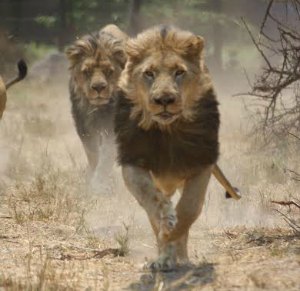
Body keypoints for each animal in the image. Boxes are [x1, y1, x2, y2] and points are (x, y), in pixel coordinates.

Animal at [65, 24, 127, 176]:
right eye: (87, 71)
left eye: (109, 71)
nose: (98, 87)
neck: (98, 109)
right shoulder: (83, 126)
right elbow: (93, 154)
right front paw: (92, 173)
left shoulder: (112, 129)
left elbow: (106, 157)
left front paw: (100, 179)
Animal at [113, 26, 240, 272]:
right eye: (149, 73)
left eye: (179, 72)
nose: (164, 99)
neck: (167, 130)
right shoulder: (132, 162)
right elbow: (152, 200)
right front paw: (166, 229)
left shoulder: (201, 163)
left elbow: (189, 210)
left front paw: (173, 236)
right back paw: (164, 257)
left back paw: (180, 257)